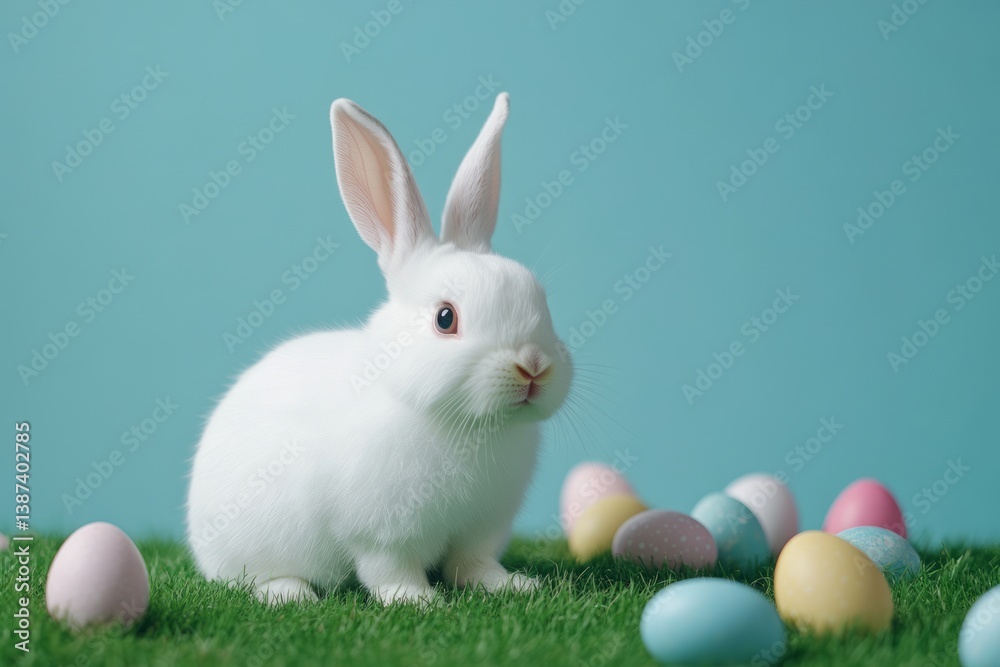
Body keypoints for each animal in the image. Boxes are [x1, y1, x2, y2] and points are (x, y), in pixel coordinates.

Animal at [186, 92, 573, 606]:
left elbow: (473, 565)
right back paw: (291, 593)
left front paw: (513, 586)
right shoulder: (381, 534)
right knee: (251, 579)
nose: (532, 367)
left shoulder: (482, 528)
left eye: (542, 303)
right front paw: (418, 601)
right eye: (445, 318)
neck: (468, 426)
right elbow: (389, 570)